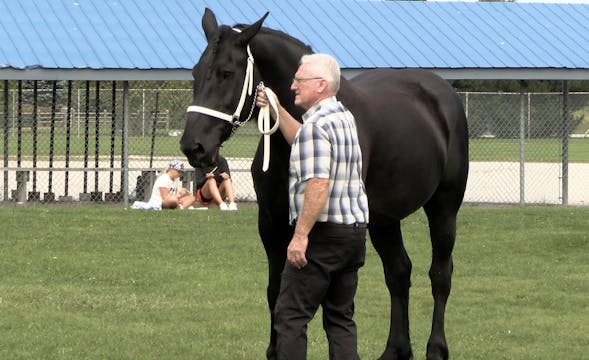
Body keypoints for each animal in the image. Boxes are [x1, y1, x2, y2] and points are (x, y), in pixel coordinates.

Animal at [181, 9, 466, 360]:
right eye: (196, 73)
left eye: (226, 73)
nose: (193, 147)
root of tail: (440, 93)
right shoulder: (272, 224)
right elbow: (276, 291)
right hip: (384, 220)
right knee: (399, 272)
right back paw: (395, 350)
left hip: (444, 208)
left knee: (440, 274)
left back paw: (436, 348)